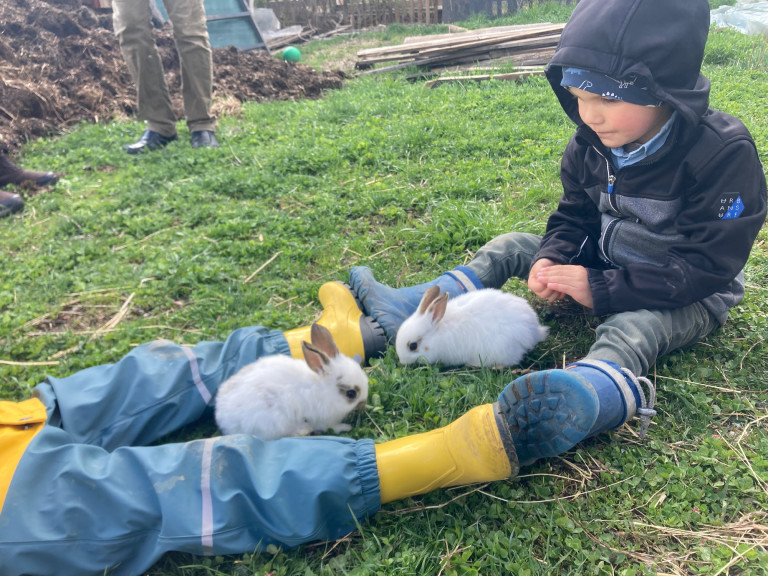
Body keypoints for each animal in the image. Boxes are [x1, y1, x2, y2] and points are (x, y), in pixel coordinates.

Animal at [213, 324, 368, 440]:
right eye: (351, 393)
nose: (363, 403)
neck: (324, 389)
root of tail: (221, 416)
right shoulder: (323, 419)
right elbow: (331, 427)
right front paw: (346, 427)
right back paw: (303, 430)